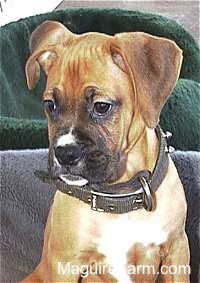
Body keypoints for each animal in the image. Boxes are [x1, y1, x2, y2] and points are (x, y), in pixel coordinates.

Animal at [22, 21, 189, 282]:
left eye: (101, 107)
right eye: (50, 105)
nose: (65, 153)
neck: (121, 195)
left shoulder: (177, 249)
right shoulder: (65, 264)